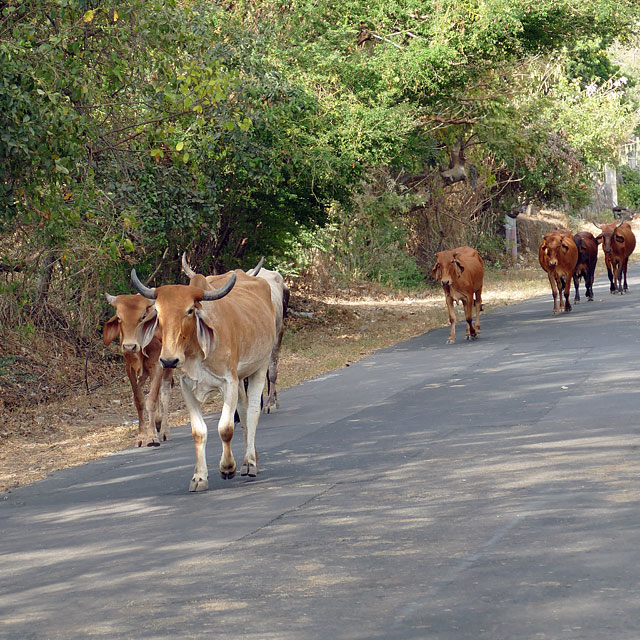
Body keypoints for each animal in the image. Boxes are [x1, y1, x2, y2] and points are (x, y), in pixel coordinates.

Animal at [100, 294, 171, 444]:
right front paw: (142, 436)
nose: (129, 346)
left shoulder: (157, 366)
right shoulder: (130, 369)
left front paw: (152, 436)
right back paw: (157, 422)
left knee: (164, 394)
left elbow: (152, 400)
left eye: (143, 316)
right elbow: (139, 400)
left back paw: (164, 431)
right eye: (119, 317)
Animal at [132, 262, 276, 492]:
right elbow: (198, 432)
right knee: (244, 412)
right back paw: (250, 457)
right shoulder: (187, 386)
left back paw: (250, 463)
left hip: (260, 368)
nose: (169, 360)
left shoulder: (229, 382)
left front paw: (227, 467)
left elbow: (225, 428)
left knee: (253, 413)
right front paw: (199, 477)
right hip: (241, 378)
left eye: (190, 310)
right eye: (158, 311)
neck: (195, 353)